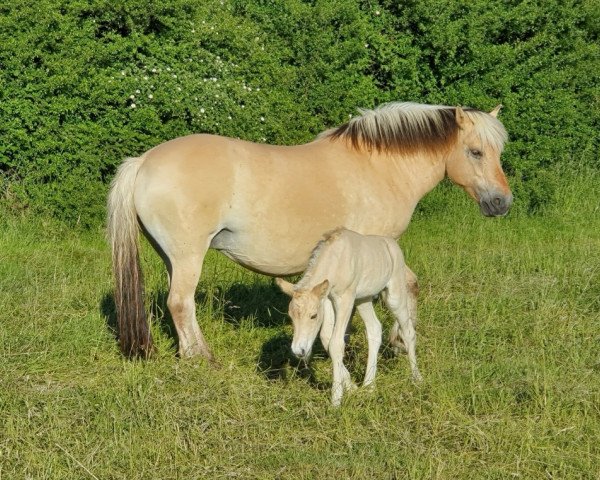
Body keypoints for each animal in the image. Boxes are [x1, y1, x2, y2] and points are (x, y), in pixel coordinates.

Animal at [106, 101, 510, 360]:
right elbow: (398, 289)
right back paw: (200, 357)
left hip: (172, 257)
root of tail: (144, 161)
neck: (379, 168)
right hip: (189, 256)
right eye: (476, 152)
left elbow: (405, 287)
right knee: (180, 303)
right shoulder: (378, 248)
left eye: (497, 152)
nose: (502, 202)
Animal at [276, 229, 422, 404]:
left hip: (394, 295)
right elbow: (326, 338)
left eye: (313, 316)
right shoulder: (327, 299)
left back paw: (416, 377)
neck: (336, 260)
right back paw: (369, 386)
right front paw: (351, 387)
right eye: (291, 317)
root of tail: (392, 244)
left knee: (408, 332)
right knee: (374, 328)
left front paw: (336, 398)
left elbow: (336, 343)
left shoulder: (344, 299)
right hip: (363, 299)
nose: (299, 350)